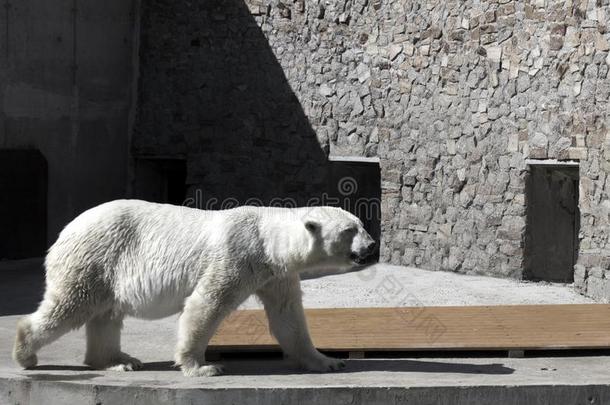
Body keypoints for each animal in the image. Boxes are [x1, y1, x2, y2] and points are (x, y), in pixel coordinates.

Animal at [13, 199, 376, 376]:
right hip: (95, 257)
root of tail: (66, 230)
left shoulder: (276, 275)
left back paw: (119, 360)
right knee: (70, 305)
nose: (372, 246)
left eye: (362, 224)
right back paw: (25, 354)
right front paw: (201, 366)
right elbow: (205, 304)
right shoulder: (236, 256)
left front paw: (328, 362)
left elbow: (289, 318)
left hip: (106, 270)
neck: (266, 240)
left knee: (106, 315)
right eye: (349, 230)